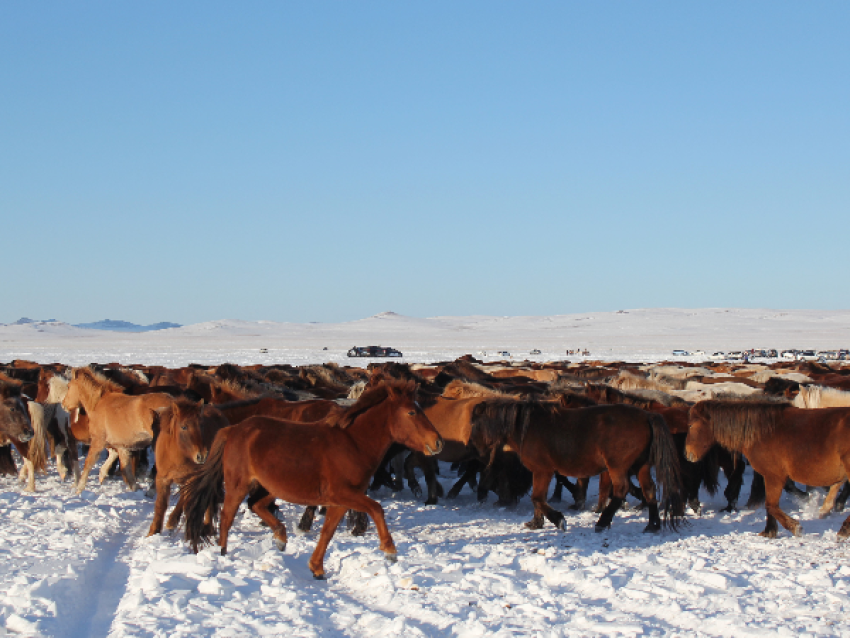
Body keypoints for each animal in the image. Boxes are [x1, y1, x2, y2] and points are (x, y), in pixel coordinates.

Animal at [146, 402, 227, 536]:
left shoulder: (193, 478)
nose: (202, 455)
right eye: (183, 427)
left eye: (201, 425)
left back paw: (207, 527)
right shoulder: (163, 479)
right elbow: (161, 505)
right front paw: (153, 532)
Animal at [181, 382, 444, 584]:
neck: (353, 444)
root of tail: (234, 429)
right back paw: (224, 552)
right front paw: (390, 551)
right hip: (239, 485)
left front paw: (317, 568)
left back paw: (280, 537)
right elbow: (377, 509)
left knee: (256, 505)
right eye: (411, 413)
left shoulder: (341, 501)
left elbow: (327, 532)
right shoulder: (343, 494)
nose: (438, 442)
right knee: (227, 515)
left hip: (274, 487)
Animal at [468, 404, 680, 536]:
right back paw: (652, 525)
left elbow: (537, 498)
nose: (473, 449)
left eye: (475, 424)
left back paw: (602, 522)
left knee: (621, 490)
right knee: (649, 491)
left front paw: (558, 520)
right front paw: (536, 523)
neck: (527, 428)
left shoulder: (543, 470)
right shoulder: (541, 472)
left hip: (617, 467)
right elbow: (538, 499)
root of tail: (647, 416)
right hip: (641, 466)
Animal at [684, 402, 848, 544]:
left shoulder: (774, 476)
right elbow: (770, 505)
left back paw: (842, 530)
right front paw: (769, 531)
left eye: (691, 425)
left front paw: (794, 527)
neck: (762, 432)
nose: (687, 454)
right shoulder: (768, 477)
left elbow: (771, 505)